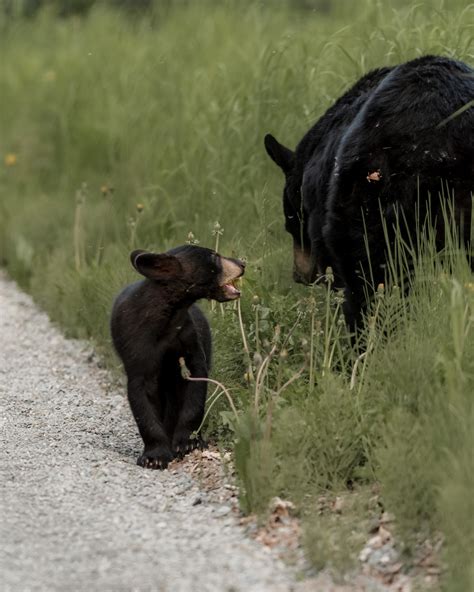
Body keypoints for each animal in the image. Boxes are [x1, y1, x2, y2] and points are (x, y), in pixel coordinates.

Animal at [111, 244, 244, 468]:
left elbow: (195, 391)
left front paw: (188, 443)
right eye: (213, 257)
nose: (242, 263)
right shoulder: (138, 349)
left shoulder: (188, 339)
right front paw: (154, 456)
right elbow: (142, 402)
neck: (169, 315)